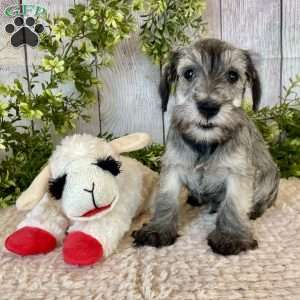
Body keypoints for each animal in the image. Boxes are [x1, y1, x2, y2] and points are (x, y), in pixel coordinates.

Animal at [132, 38, 280, 255]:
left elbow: (234, 203)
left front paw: (231, 236)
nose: (208, 107)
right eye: (188, 73)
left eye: (233, 75)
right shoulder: (172, 167)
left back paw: (254, 210)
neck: (205, 143)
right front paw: (158, 229)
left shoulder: (238, 172)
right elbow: (166, 199)